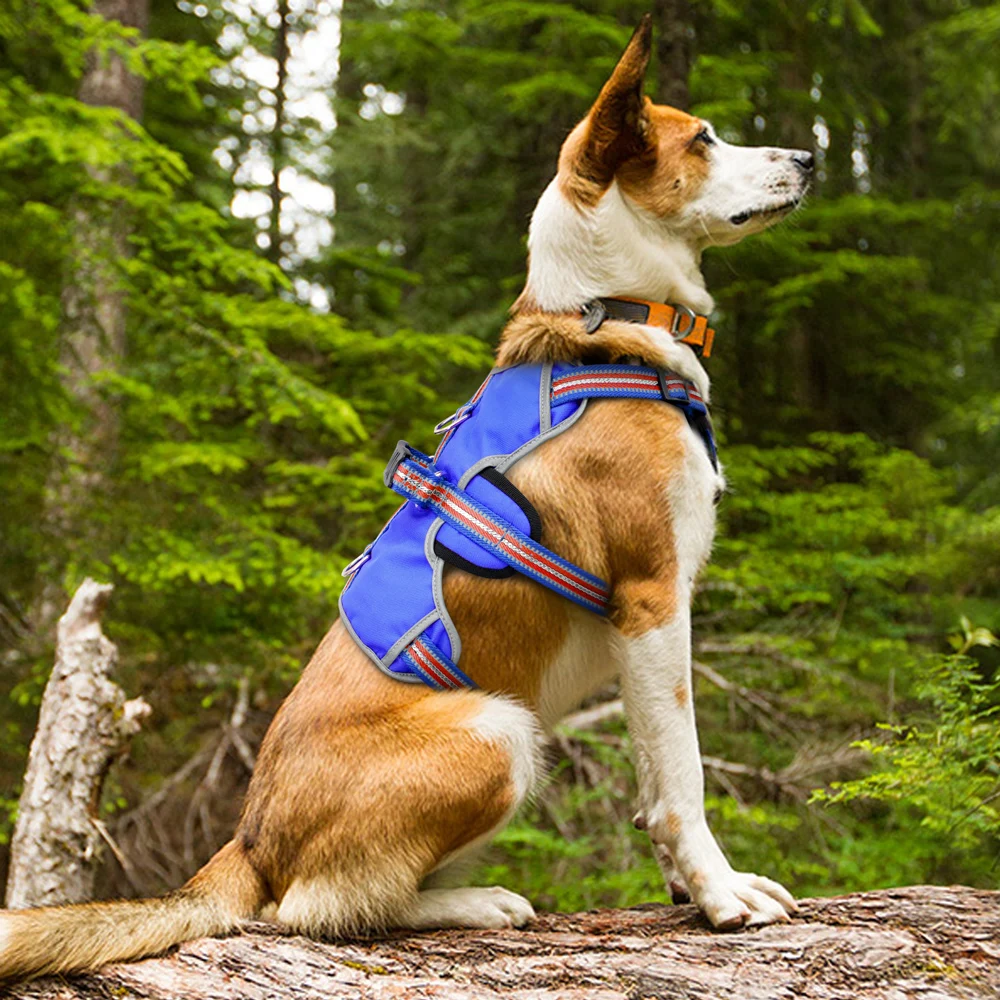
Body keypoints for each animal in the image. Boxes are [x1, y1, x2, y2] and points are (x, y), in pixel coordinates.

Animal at [0, 15, 812, 980]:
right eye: (704, 140)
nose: (810, 156)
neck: (605, 321)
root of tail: (248, 839)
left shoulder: (644, 630)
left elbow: (654, 780)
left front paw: (691, 890)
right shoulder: (654, 602)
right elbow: (683, 776)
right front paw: (721, 895)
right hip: (498, 731)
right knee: (315, 908)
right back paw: (476, 902)